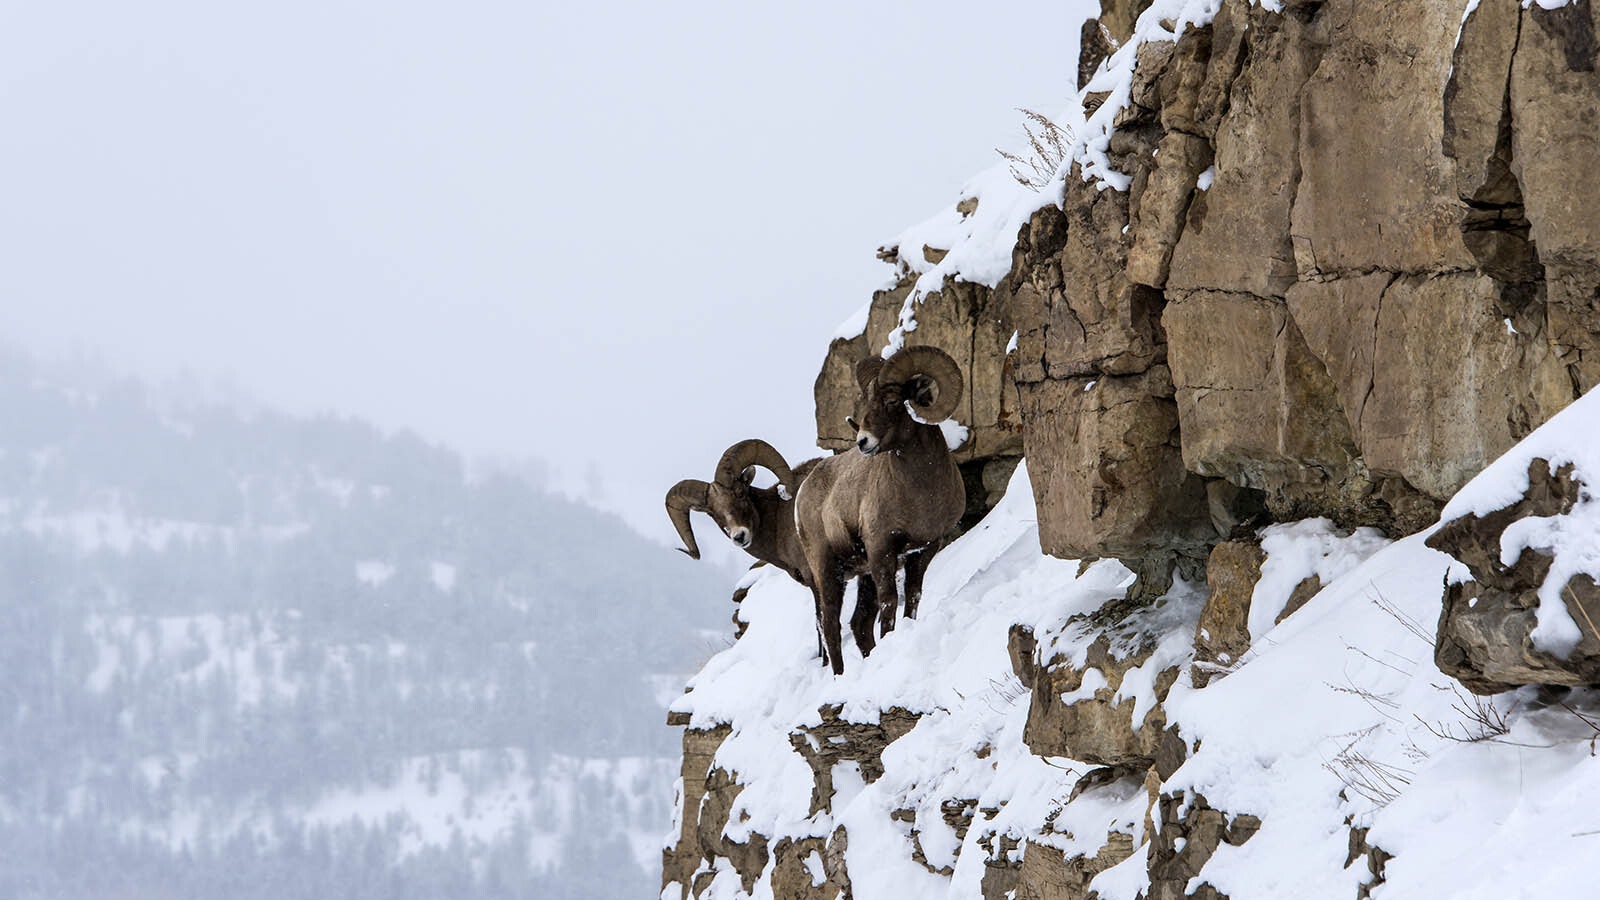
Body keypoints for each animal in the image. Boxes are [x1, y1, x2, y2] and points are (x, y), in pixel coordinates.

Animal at [794, 345, 966, 675]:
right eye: (865, 404)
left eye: (892, 401)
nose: (863, 442)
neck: (920, 494)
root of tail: (801, 493)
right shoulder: (881, 550)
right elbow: (889, 603)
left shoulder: (923, 549)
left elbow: (912, 596)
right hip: (828, 570)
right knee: (831, 624)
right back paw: (840, 677)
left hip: (860, 574)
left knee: (859, 624)